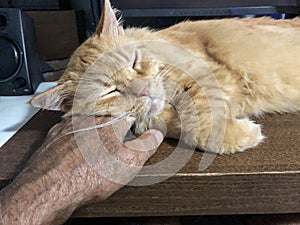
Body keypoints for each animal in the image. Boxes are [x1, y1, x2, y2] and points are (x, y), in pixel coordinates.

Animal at [31, 0, 300, 155]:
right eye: (109, 91)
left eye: (134, 62)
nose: (142, 90)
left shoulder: (215, 76)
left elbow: (196, 122)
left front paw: (243, 135)